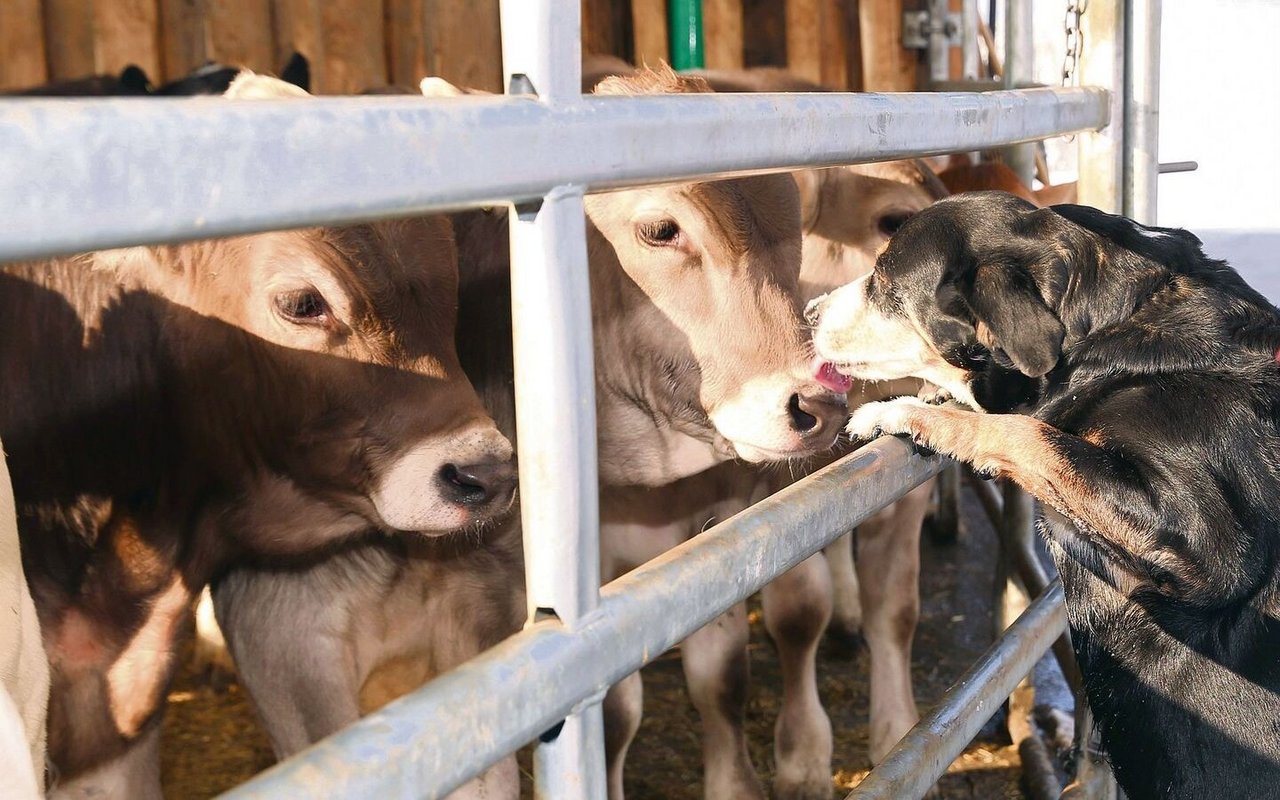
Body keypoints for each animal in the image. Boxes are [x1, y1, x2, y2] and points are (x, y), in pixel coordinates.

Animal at [808, 192, 1280, 798]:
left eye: (885, 282)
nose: (808, 311)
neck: (1111, 333)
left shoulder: (1211, 546)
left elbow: (1025, 429)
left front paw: (901, 410)